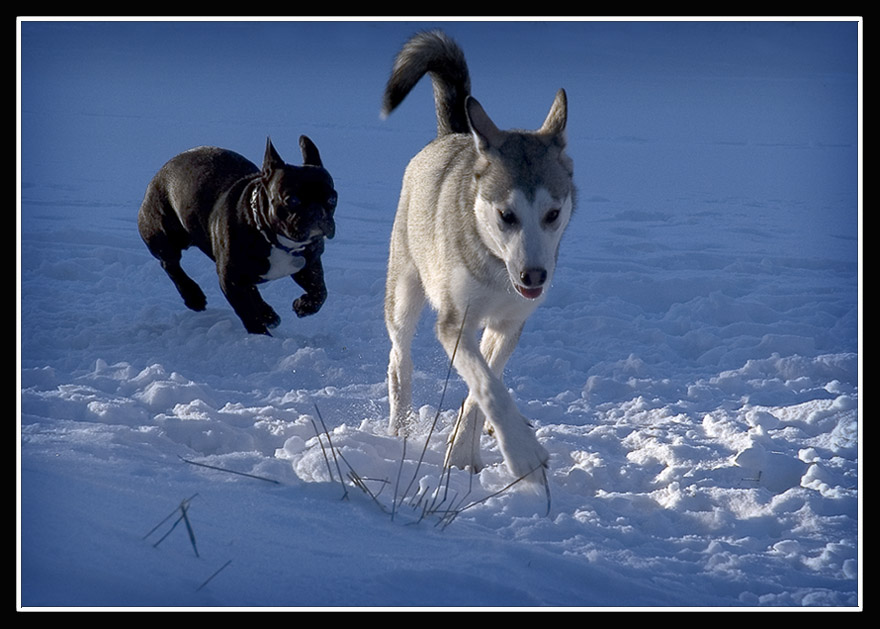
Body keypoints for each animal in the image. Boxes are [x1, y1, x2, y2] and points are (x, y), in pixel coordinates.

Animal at [138, 136, 336, 336]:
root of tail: (163, 169)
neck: (275, 240)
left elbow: (320, 291)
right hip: (164, 234)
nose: (317, 212)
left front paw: (304, 306)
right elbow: (248, 312)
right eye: (292, 200)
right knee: (170, 264)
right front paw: (261, 337)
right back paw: (193, 297)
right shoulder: (231, 280)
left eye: (333, 199)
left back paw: (268, 313)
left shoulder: (308, 263)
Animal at [380, 30, 576, 480]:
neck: (497, 268)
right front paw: (522, 454)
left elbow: (481, 387)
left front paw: (465, 451)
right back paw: (400, 427)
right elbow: (487, 385)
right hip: (403, 294)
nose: (534, 277)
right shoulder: (455, 324)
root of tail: (450, 135)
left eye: (553, 214)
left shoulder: (508, 325)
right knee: (399, 360)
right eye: (506, 215)